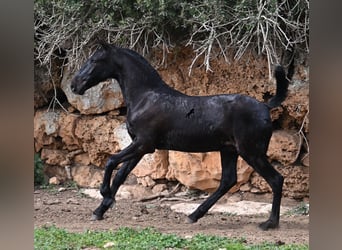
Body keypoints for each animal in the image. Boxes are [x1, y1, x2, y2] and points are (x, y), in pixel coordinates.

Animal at [71, 41, 294, 230]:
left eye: (94, 60)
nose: (74, 85)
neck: (145, 97)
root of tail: (265, 106)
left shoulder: (144, 144)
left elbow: (111, 161)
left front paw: (105, 195)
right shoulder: (140, 147)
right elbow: (120, 175)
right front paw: (100, 209)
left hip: (251, 152)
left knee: (276, 179)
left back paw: (270, 223)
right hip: (229, 150)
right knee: (228, 181)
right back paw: (194, 215)